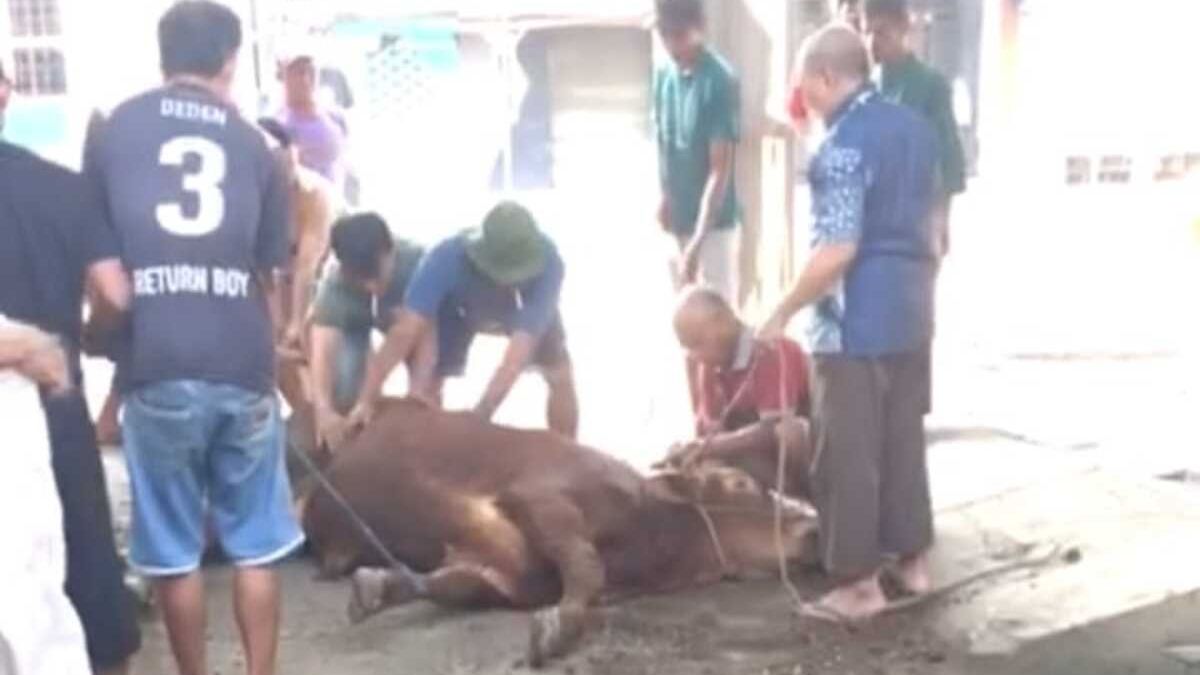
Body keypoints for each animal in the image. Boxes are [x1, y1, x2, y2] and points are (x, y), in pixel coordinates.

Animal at [304, 396, 820, 662]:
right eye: (740, 482)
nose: (813, 523)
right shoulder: (538, 498)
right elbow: (585, 567)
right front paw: (556, 627)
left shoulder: (507, 574)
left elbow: (453, 584)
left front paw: (375, 586)